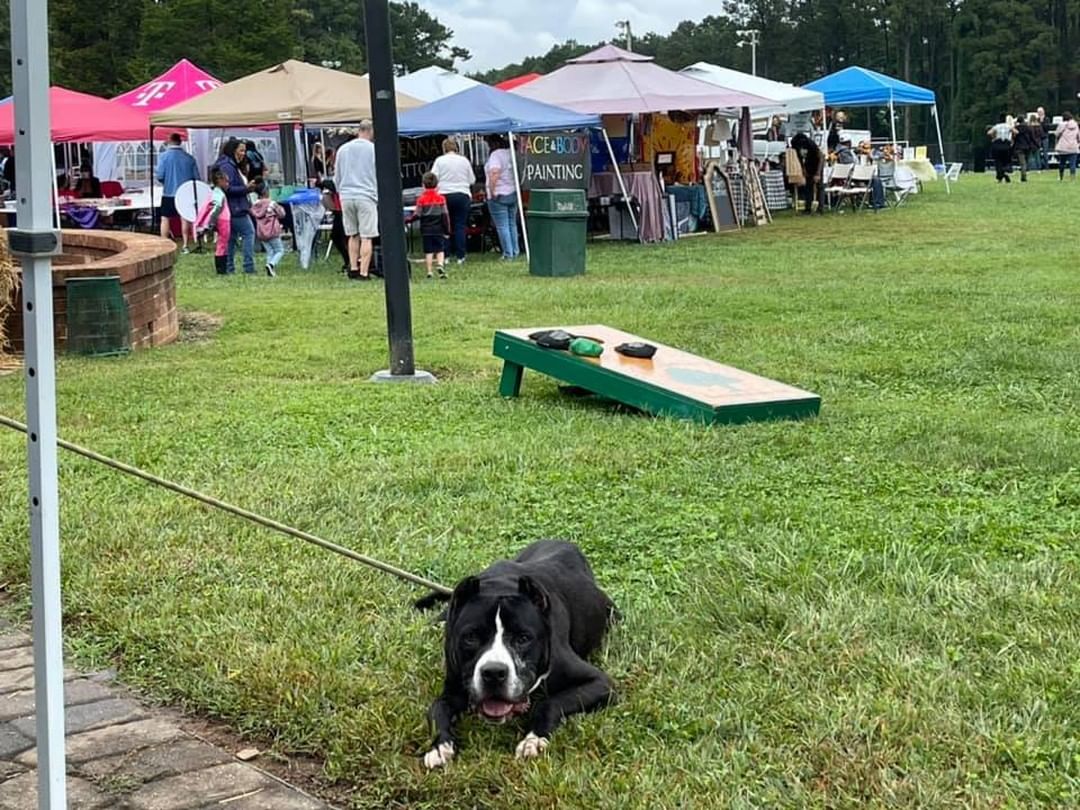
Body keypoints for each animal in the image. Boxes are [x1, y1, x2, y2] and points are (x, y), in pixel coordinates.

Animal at [414, 542, 617, 768]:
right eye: (471, 637)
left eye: (523, 638)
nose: (494, 673)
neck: (501, 587)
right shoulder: (454, 688)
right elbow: (437, 708)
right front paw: (439, 746)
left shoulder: (600, 683)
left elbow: (549, 703)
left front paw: (533, 740)